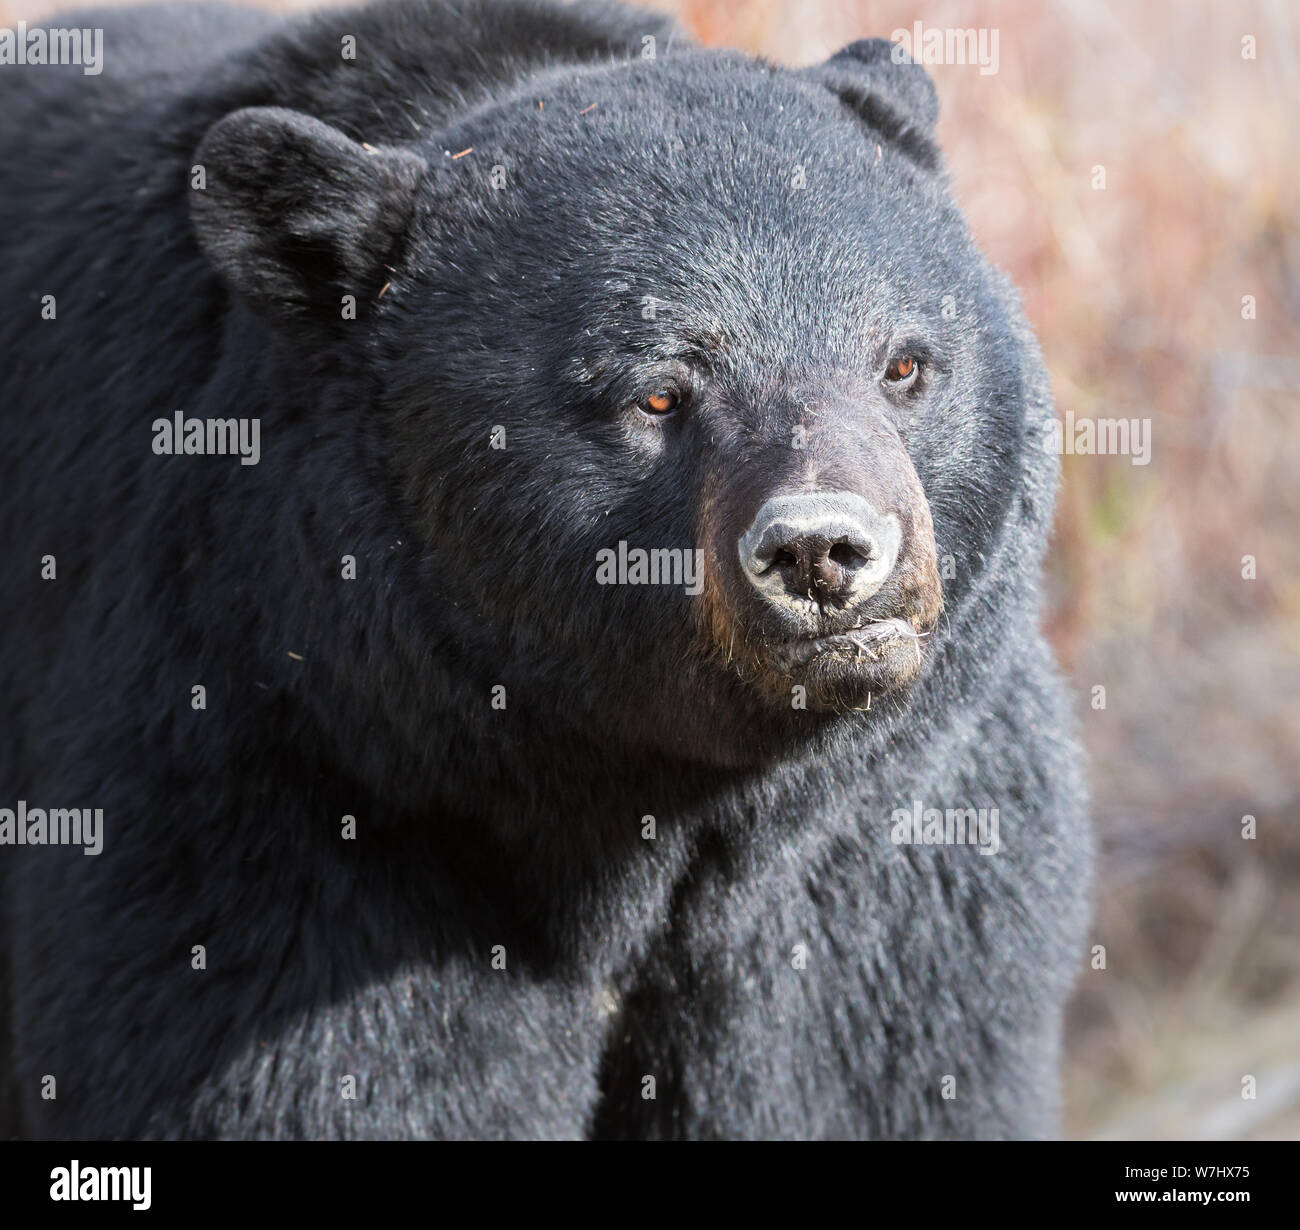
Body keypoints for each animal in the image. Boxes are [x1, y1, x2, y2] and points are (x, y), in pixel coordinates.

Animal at [0, 0, 1092, 1140]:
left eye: (903, 364)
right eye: (657, 392)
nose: (822, 552)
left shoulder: (884, 869)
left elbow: (871, 1072)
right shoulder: (272, 791)